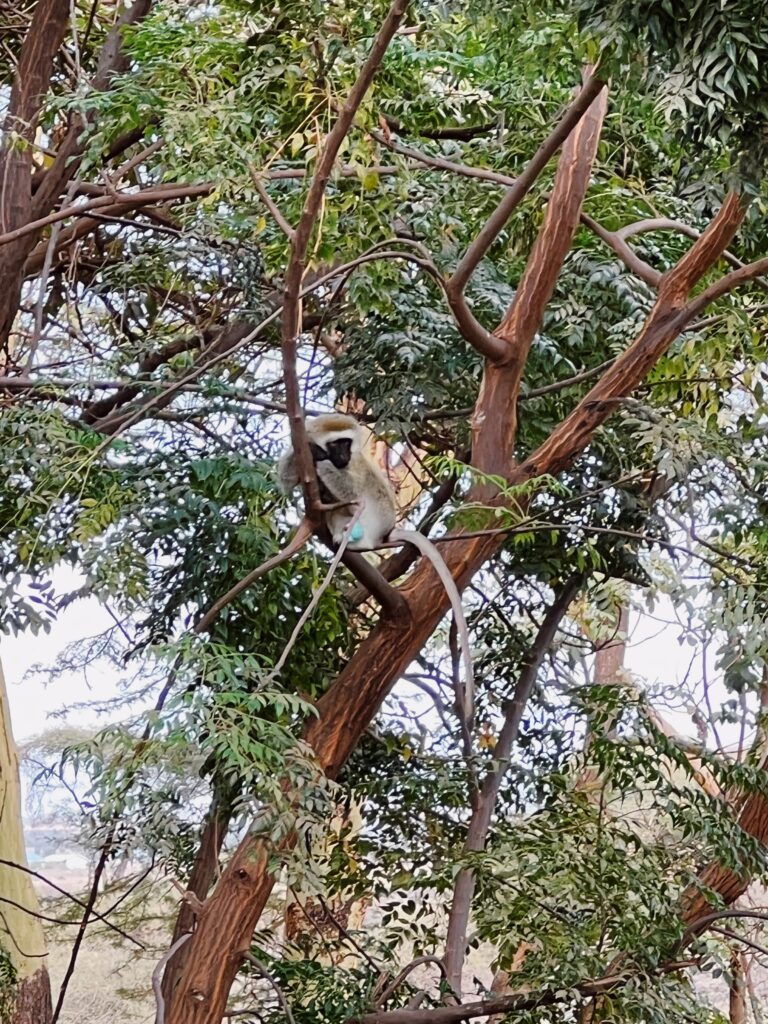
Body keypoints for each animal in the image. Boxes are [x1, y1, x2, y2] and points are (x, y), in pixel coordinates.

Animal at [276, 413, 475, 720]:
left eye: (346, 443)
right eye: (336, 444)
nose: (342, 456)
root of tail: (383, 534)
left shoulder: (355, 465)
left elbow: (351, 485)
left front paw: (322, 462)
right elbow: (286, 480)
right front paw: (308, 453)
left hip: (378, 514)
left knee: (367, 491)